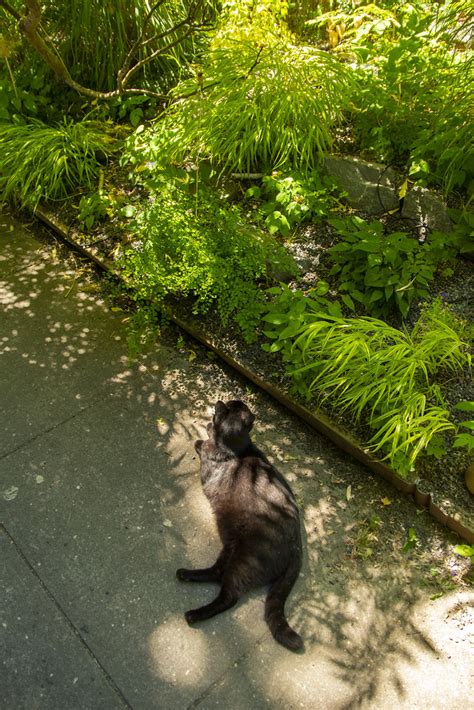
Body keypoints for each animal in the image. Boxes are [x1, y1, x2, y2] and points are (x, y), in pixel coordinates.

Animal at [176, 400, 302, 652]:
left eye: (221, 411)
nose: (220, 403)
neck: (237, 448)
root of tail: (298, 546)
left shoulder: (208, 460)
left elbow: (201, 443)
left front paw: (204, 436)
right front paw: (207, 429)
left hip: (244, 559)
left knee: (228, 596)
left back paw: (194, 614)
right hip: (230, 546)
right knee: (216, 572)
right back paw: (186, 574)